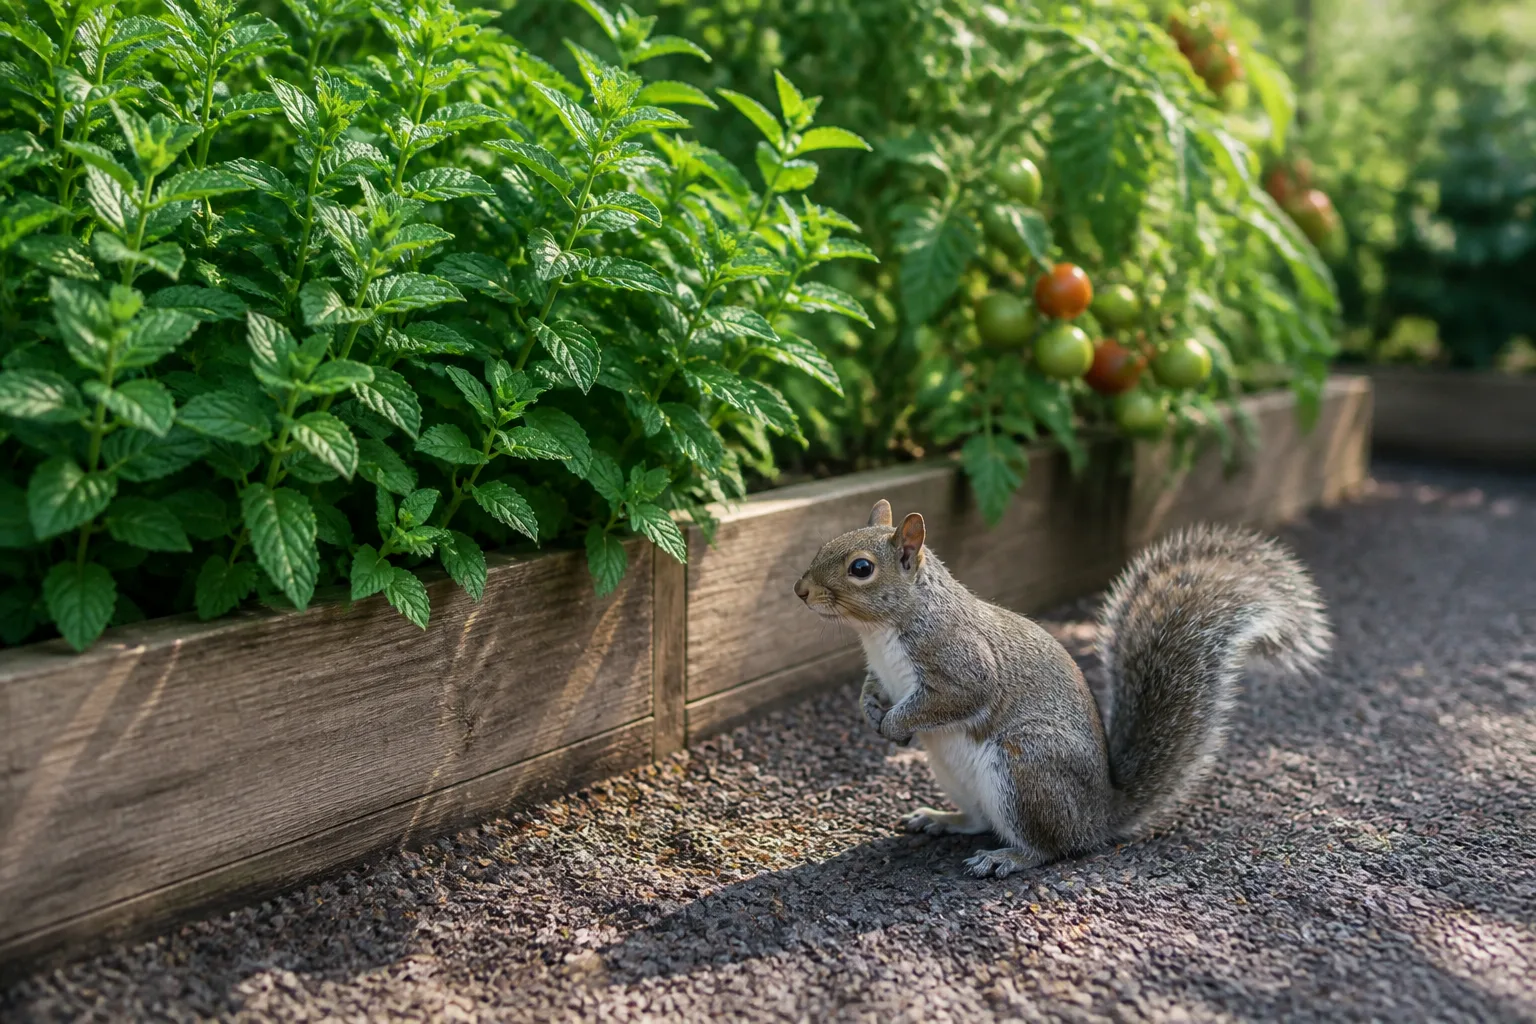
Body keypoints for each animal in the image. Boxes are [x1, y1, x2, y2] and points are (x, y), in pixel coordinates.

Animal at [792, 499, 1331, 878]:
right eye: (825, 544)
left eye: (861, 568)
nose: (800, 590)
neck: (881, 633)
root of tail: (1099, 814)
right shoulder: (880, 672)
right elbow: (870, 689)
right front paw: (872, 713)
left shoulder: (963, 664)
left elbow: (956, 698)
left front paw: (897, 724)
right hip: (961, 775)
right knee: (982, 821)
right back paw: (942, 819)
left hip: (1025, 766)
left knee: (1053, 847)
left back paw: (1008, 858)